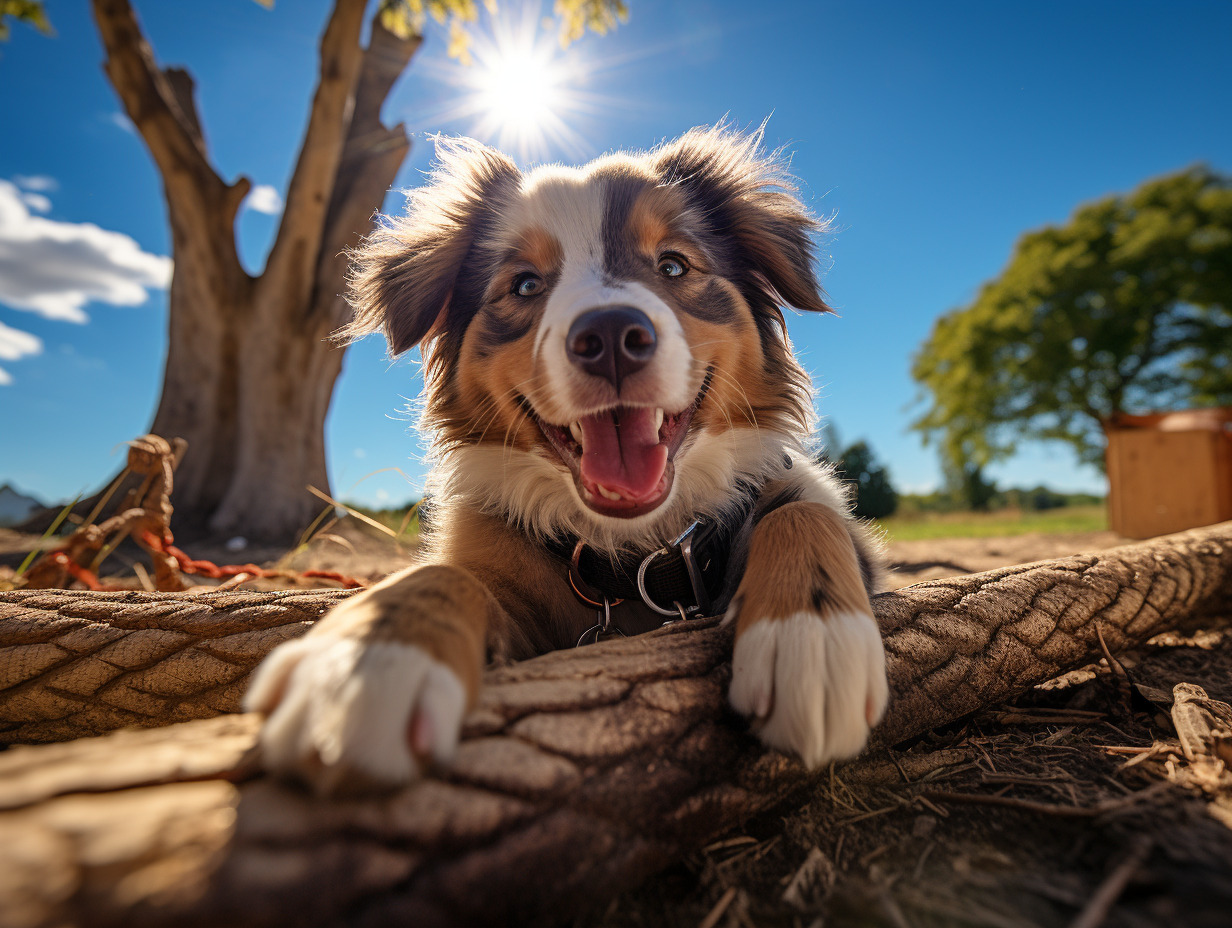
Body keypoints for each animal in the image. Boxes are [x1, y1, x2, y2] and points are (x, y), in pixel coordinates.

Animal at [245, 125, 891, 798]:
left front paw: (812, 638)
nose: (610, 338)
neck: (632, 555)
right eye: (526, 285)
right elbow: (438, 574)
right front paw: (367, 665)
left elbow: (802, 515)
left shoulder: (801, 495)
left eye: (673, 265)